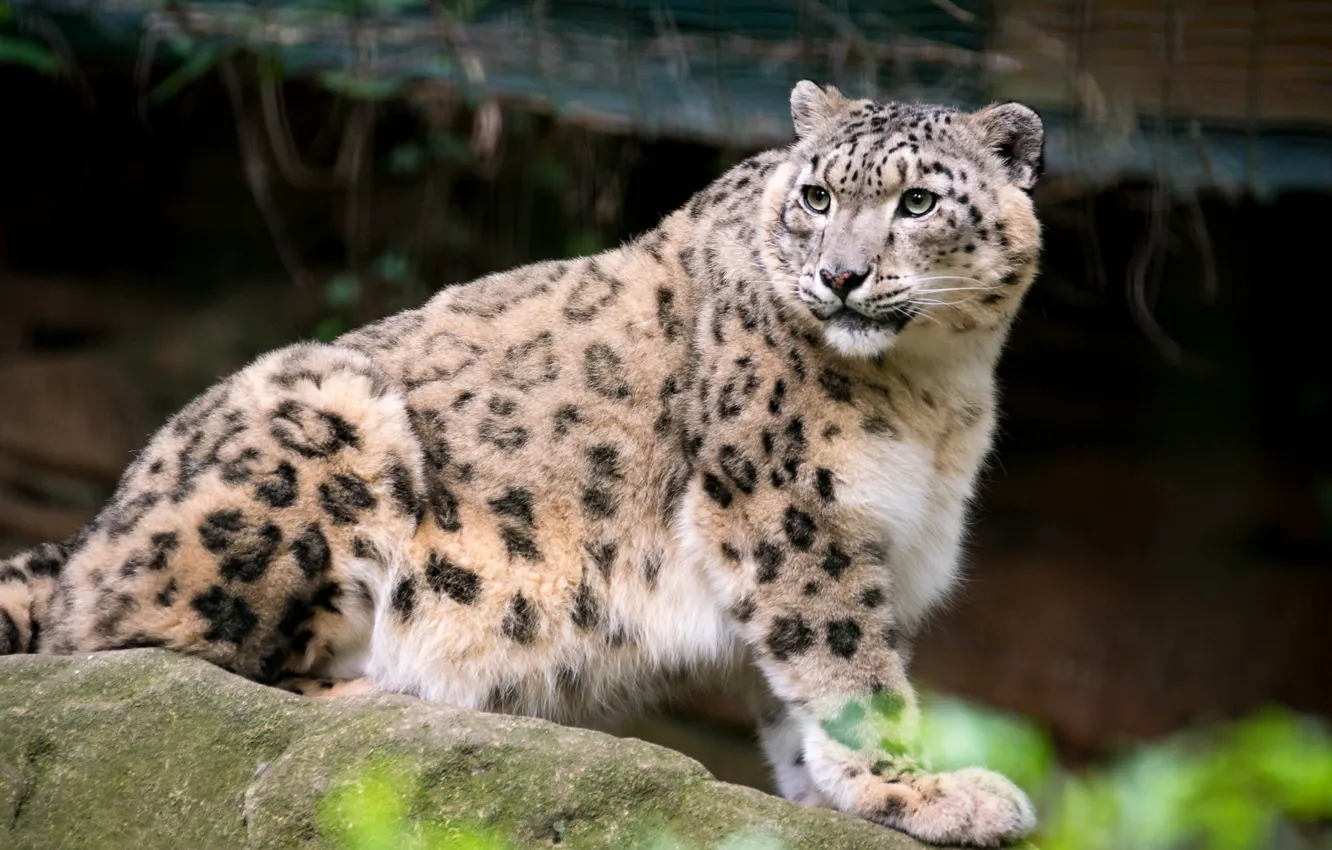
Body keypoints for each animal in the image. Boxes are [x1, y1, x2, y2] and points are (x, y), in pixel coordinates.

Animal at [0, 81, 1045, 847]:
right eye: (816, 198)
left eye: (918, 201)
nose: (840, 276)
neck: (934, 392)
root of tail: (99, 524)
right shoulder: (790, 513)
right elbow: (847, 668)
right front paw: (922, 792)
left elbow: (799, 693)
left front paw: (833, 794)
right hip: (319, 420)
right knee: (157, 661)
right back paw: (383, 695)